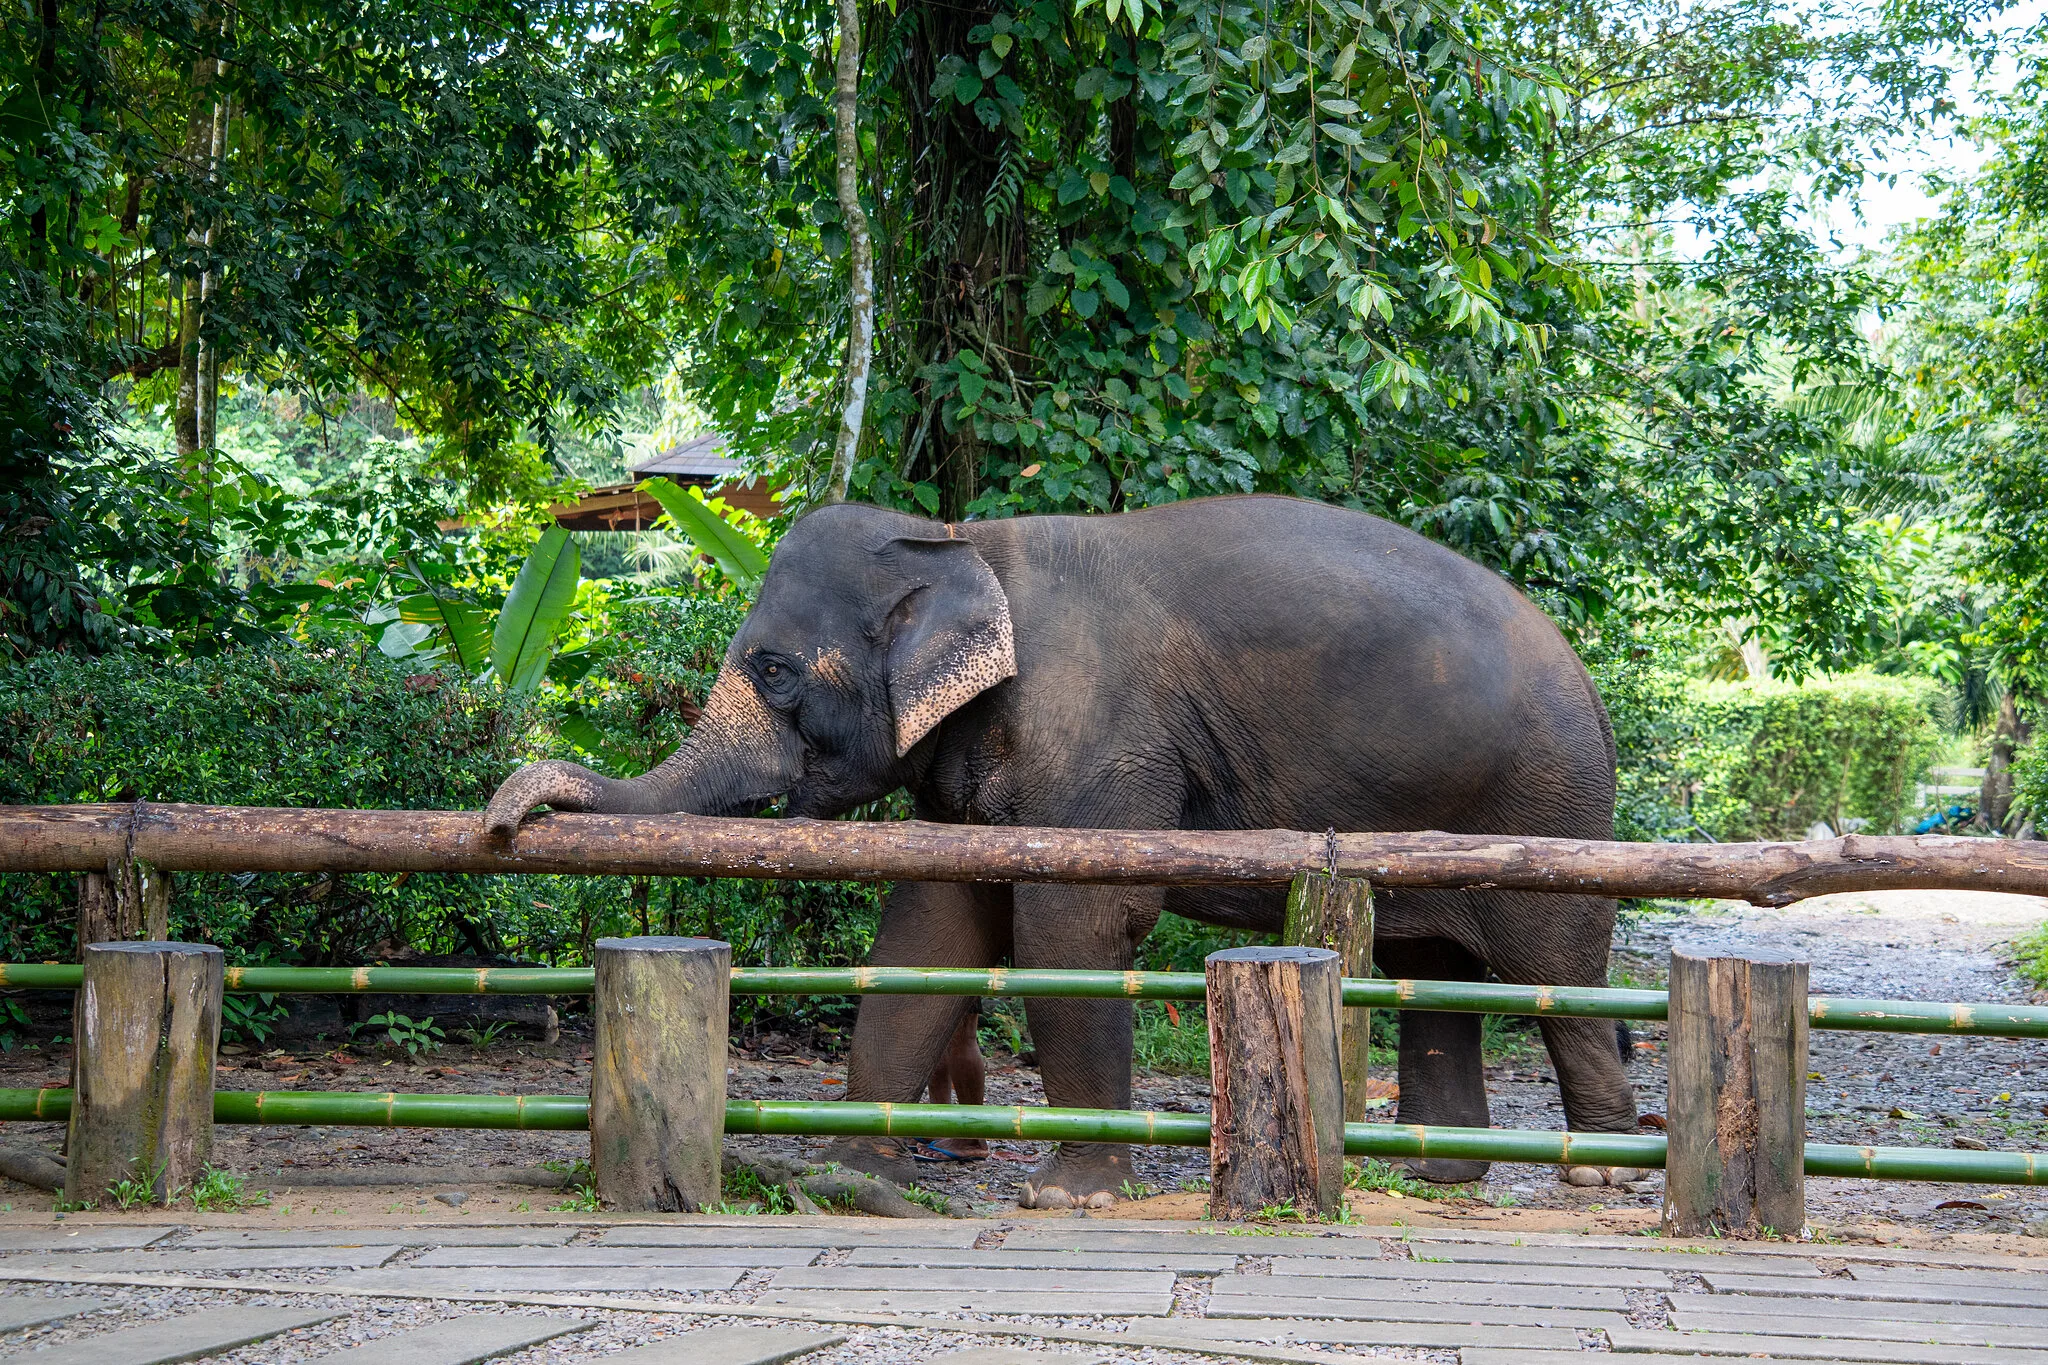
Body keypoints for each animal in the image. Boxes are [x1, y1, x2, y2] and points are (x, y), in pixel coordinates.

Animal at [484, 495, 1639, 1208]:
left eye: (771, 670)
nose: (504, 819)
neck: (958, 538)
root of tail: (1589, 684)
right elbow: (933, 926)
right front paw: (845, 1176)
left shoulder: (1091, 730)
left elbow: (1069, 922)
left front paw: (1067, 1193)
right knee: (1429, 970)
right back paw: (1437, 1174)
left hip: (1551, 806)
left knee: (1554, 968)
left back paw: (1593, 1173)